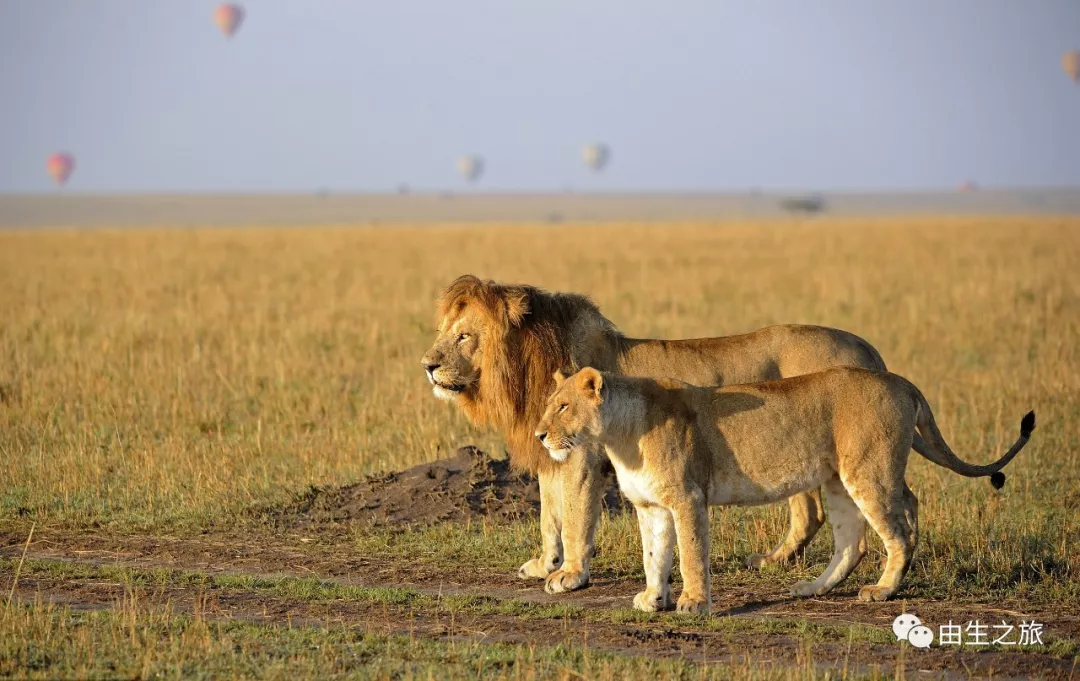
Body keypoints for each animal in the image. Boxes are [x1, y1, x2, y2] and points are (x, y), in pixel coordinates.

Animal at [416, 274, 924, 595]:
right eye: (444, 331)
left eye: (464, 336)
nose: (428, 365)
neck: (525, 371)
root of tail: (868, 349)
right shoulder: (551, 456)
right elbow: (548, 516)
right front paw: (545, 564)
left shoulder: (583, 458)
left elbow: (576, 516)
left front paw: (572, 575)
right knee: (833, 509)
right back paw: (779, 562)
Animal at [535, 366, 1032, 613]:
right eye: (547, 405)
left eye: (562, 406)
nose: (539, 435)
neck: (620, 436)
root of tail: (902, 381)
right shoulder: (651, 506)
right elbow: (654, 557)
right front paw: (652, 600)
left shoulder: (687, 497)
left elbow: (691, 555)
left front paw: (694, 603)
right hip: (838, 480)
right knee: (856, 541)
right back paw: (814, 588)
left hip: (868, 471)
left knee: (901, 528)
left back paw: (882, 591)